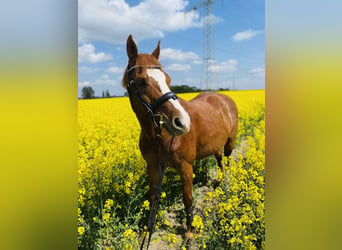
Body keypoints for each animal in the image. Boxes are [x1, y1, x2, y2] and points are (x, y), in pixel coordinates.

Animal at [122, 34, 238, 238]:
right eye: (142, 81)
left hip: (230, 143)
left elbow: (188, 198)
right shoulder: (153, 167)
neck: (158, 135)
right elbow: (152, 197)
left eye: (168, 79)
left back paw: (226, 184)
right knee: (219, 161)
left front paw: (190, 230)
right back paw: (219, 182)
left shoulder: (186, 166)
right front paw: (147, 229)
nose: (182, 122)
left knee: (228, 161)